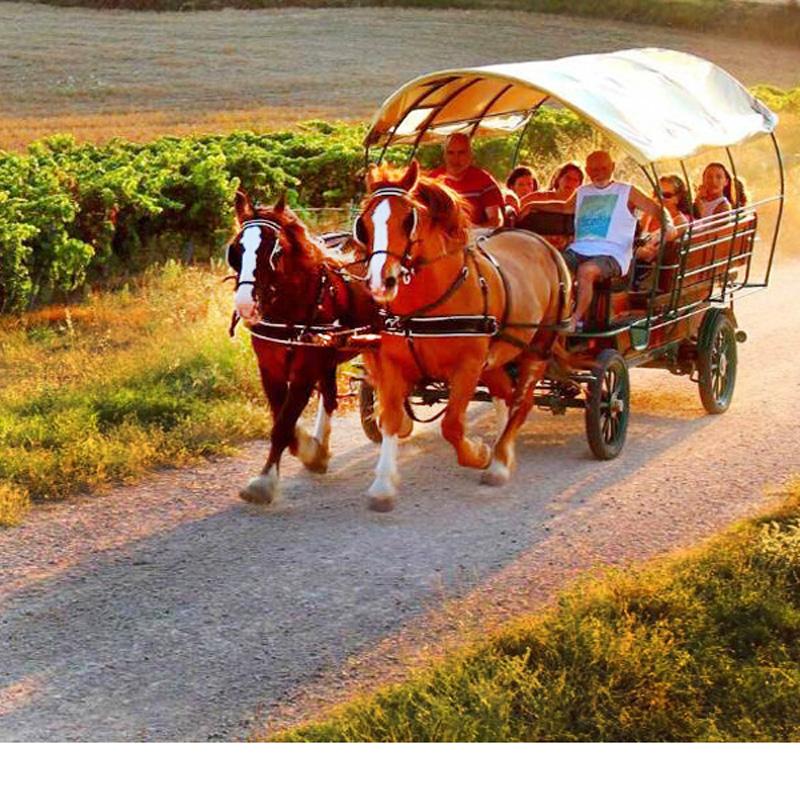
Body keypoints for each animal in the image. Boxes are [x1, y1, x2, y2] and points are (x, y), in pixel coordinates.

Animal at [230, 191, 380, 504]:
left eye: (275, 251)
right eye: (236, 249)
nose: (245, 304)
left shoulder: (305, 368)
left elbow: (284, 422)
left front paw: (264, 482)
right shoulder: (270, 368)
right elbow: (281, 417)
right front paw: (310, 450)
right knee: (331, 396)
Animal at [354, 159, 568, 510]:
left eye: (408, 219)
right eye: (364, 223)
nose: (379, 282)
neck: (425, 307)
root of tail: (538, 240)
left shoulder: (467, 367)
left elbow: (452, 425)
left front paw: (479, 454)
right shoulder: (393, 365)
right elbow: (391, 419)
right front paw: (383, 484)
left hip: (537, 347)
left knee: (521, 402)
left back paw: (499, 462)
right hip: (497, 357)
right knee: (505, 395)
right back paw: (503, 446)